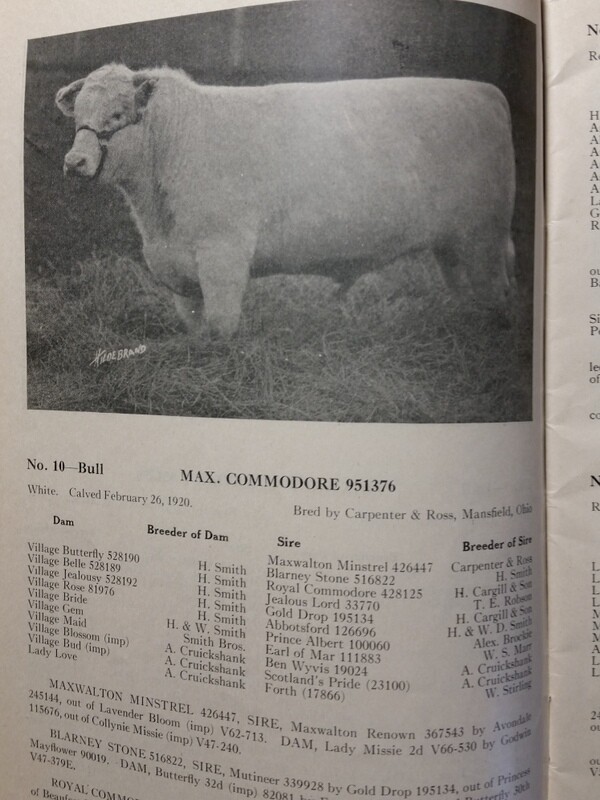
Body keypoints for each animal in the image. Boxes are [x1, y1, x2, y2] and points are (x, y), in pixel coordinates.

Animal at [56, 64, 516, 337]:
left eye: (117, 115)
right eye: (78, 114)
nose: (74, 161)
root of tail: (487, 93)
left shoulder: (224, 251)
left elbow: (221, 327)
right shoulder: (175, 265)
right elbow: (195, 326)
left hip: (485, 238)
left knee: (498, 295)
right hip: (454, 243)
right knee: (465, 291)